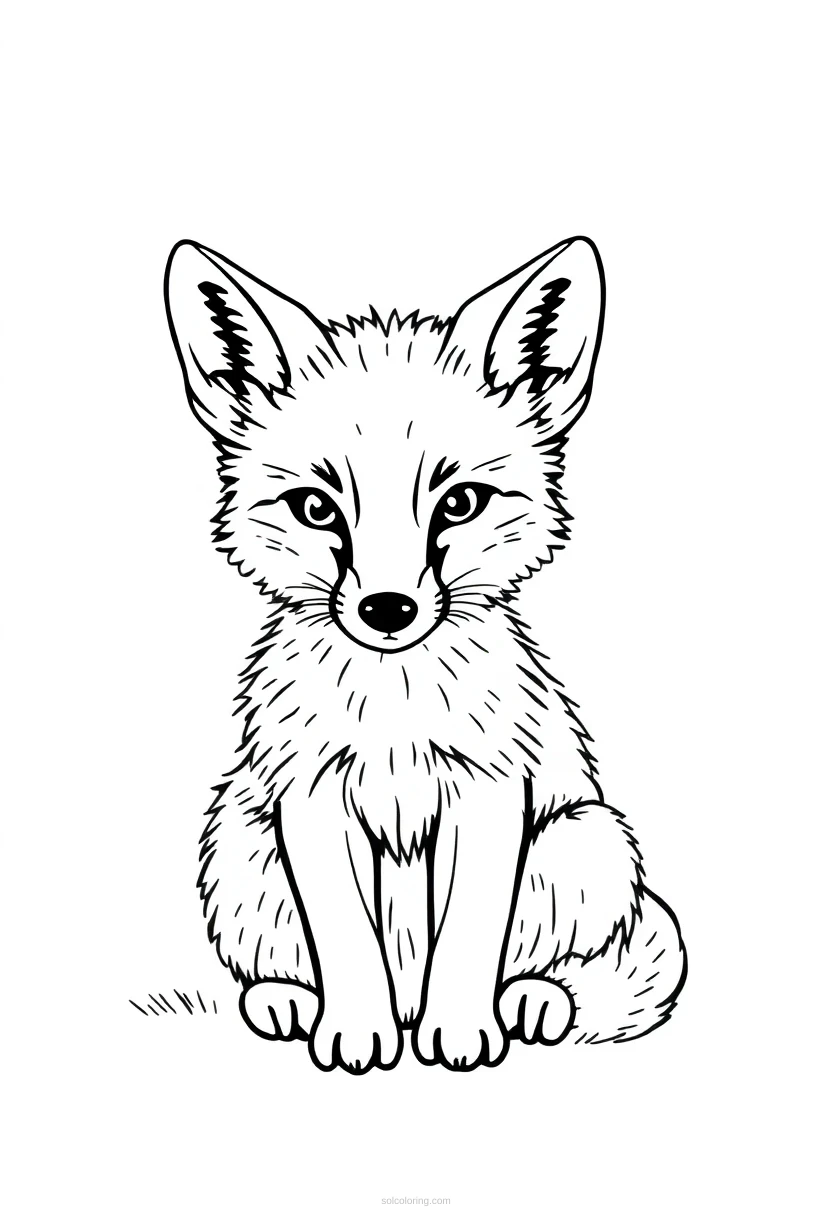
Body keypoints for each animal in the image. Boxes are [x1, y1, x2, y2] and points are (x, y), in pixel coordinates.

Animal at [164, 235, 686, 1073]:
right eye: (317, 508)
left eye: (460, 503)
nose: (387, 611)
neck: (394, 715)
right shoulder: (310, 799)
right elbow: (344, 935)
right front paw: (354, 1031)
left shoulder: (492, 792)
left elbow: (469, 934)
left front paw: (464, 1030)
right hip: (237, 846)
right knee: (287, 957)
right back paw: (288, 999)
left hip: (586, 840)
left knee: (547, 965)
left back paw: (531, 1002)